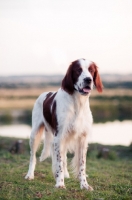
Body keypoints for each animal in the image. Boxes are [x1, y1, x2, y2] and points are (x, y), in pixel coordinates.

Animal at [25, 58, 103, 191]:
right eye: (78, 70)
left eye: (91, 70)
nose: (88, 79)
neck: (78, 103)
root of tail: (45, 93)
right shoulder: (59, 136)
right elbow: (59, 162)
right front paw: (60, 183)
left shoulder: (82, 138)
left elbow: (81, 165)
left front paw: (84, 185)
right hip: (35, 134)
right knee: (32, 156)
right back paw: (30, 175)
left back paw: (65, 174)